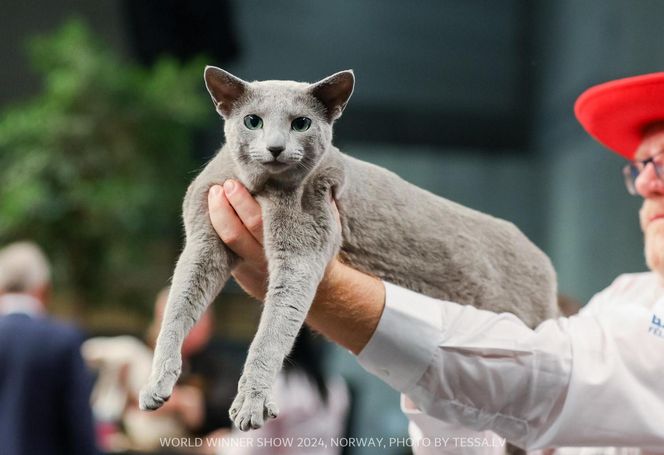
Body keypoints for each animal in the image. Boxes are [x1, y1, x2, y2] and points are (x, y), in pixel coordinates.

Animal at [139, 67, 556, 434]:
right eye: (253, 121)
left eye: (301, 124)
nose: (275, 147)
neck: (261, 190)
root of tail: (547, 268)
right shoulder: (203, 238)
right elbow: (178, 306)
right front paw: (157, 384)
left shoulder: (304, 244)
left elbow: (272, 331)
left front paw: (252, 403)